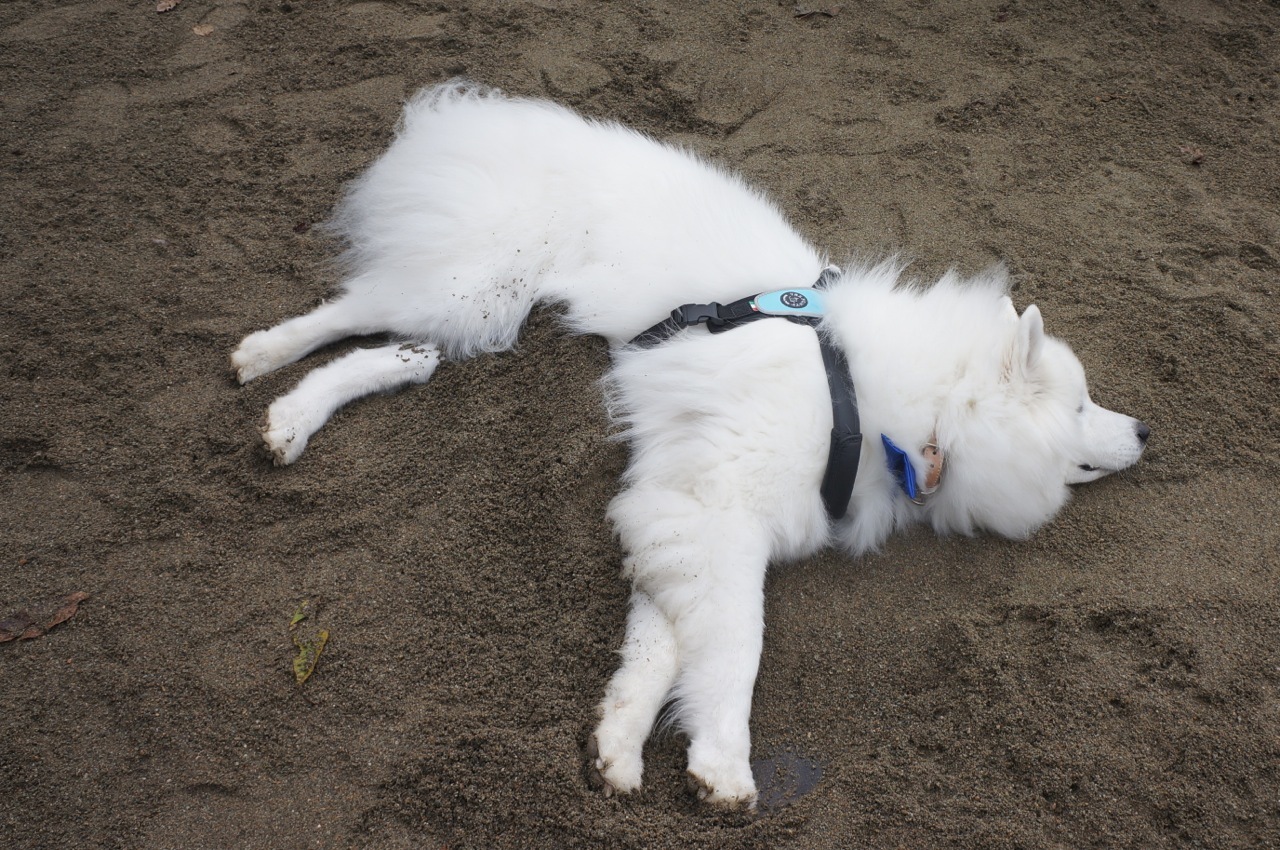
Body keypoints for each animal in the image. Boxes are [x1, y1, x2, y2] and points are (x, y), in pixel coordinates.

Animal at [232, 83, 1152, 809]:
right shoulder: (715, 514)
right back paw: (264, 358)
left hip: (476, 315)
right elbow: (735, 653)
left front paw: (617, 746)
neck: (888, 403)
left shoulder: (677, 515)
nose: (1147, 428)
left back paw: (291, 419)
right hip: (473, 288)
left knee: (393, 355)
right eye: (1080, 404)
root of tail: (465, 119)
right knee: (348, 310)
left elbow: (662, 651)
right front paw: (723, 766)